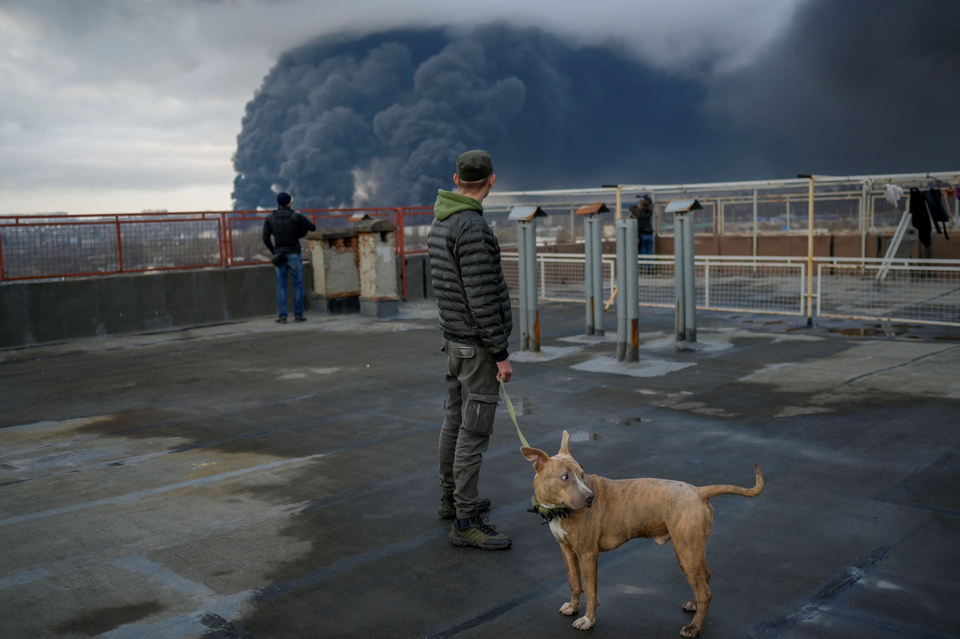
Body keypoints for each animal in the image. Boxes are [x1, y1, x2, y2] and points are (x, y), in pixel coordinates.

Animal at [520, 432, 760, 636]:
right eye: (565, 477)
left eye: (582, 474)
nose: (590, 497)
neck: (559, 510)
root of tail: (698, 491)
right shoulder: (567, 550)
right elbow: (574, 582)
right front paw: (573, 607)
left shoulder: (588, 554)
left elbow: (589, 589)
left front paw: (588, 619)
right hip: (693, 549)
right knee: (706, 576)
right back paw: (693, 604)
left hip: (686, 551)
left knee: (706, 592)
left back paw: (694, 628)